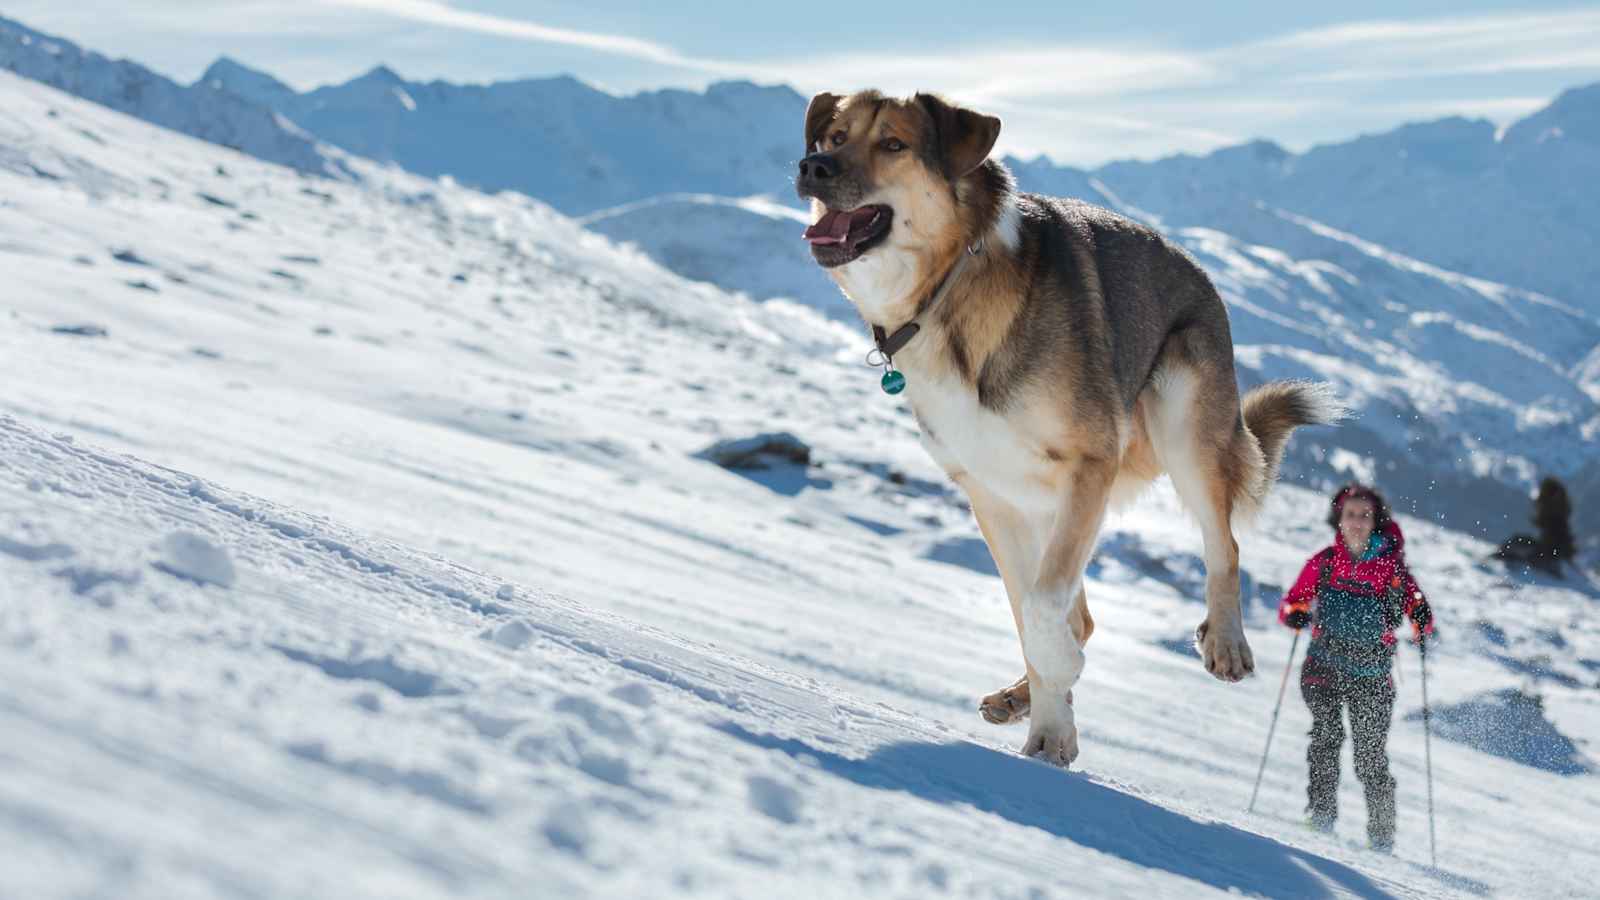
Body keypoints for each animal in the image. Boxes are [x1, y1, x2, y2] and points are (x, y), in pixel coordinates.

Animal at [796, 92, 1337, 762]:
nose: (811, 168)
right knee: (1077, 611)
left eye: (893, 144)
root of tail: (1200, 271)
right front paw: (1049, 716)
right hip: (1049, 502)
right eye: (833, 137)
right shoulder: (992, 494)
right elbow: (1032, 609)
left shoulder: (1088, 466)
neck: (948, 292)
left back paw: (1226, 642)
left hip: (1181, 423)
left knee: (1223, 544)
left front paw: (1057, 704)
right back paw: (1021, 694)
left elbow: (1043, 604)